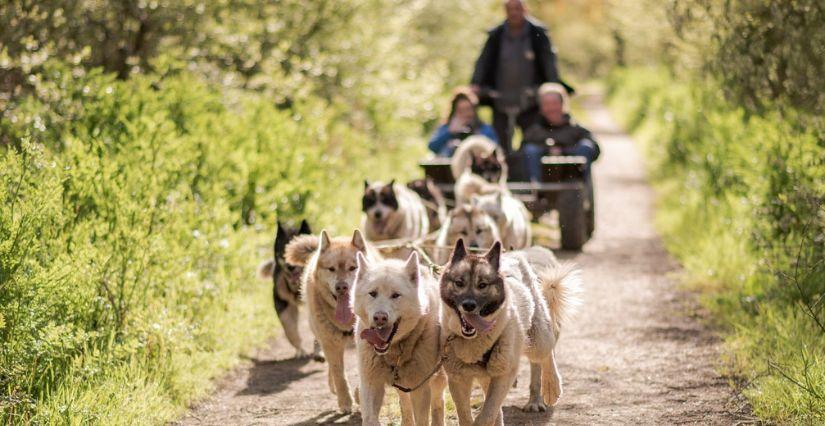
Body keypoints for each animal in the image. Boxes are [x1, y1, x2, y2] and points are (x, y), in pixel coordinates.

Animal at [256, 221, 324, 362]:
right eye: (283, 251)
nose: (290, 267)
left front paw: (319, 351)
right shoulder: (281, 301)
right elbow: (290, 329)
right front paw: (300, 351)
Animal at [284, 230, 380, 412]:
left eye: (353, 267)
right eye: (331, 269)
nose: (341, 287)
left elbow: (362, 372)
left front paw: (359, 394)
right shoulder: (330, 343)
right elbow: (339, 374)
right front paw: (345, 401)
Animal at [350, 253, 448, 426]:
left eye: (395, 295)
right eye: (373, 293)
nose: (380, 318)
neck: (394, 350)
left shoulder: (420, 388)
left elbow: (422, 419)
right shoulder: (370, 383)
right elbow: (370, 418)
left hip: (437, 378)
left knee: (438, 402)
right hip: (401, 384)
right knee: (404, 404)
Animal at [438, 241, 580, 424]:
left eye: (482, 285)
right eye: (459, 283)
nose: (468, 305)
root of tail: (516, 254)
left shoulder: (504, 375)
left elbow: (486, 415)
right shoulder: (458, 379)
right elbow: (467, 416)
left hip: (536, 339)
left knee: (546, 354)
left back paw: (551, 387)